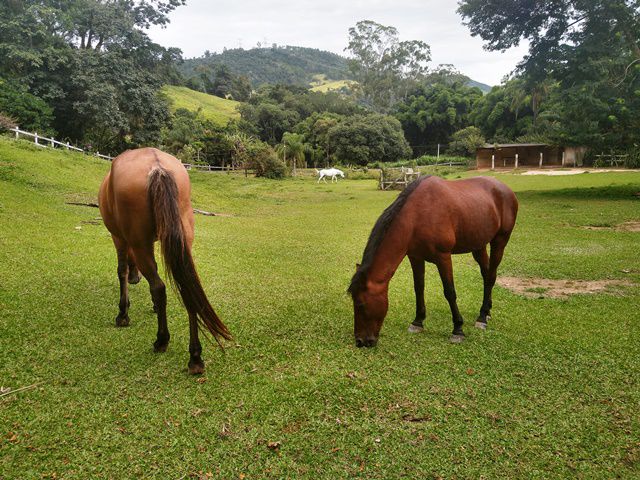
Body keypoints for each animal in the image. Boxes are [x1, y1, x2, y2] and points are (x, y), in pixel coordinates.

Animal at [97, 148, 230, 374]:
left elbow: (121, 271)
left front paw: (123, 313)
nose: (135, 278)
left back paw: (162, 340)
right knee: (186, 289)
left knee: (159, 287)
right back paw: (195, 357)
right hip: (183, 238)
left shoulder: (119, 238)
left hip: (139, 243)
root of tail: (157, 167)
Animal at [348, 174, 516, 346]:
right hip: (478, 244)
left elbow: (450, 292)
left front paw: (458, 329)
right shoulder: (415, 257)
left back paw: (482, 317)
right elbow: (418, 288)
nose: (360, 341)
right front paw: (418, 321)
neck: (417, 216)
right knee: (486, 273)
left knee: (491, 276)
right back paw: (487, 311)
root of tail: (504, 188)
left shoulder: (443, 257)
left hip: (500, 240)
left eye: (360, 304)